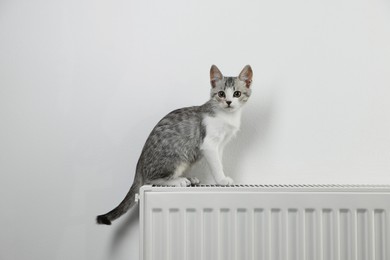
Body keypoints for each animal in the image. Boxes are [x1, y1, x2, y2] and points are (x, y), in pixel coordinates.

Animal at [96, 65, 253, 225]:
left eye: (237, 93)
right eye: (221, 94)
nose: (228, 102)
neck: (227, 116)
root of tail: (140, 162)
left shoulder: (220, 144)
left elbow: (219, 161)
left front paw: (220, 177)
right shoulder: (209, 143)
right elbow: (216, 164)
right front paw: (221, 180)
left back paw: (189, 178)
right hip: (177, 156)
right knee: (151, 179)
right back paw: (178, 180)